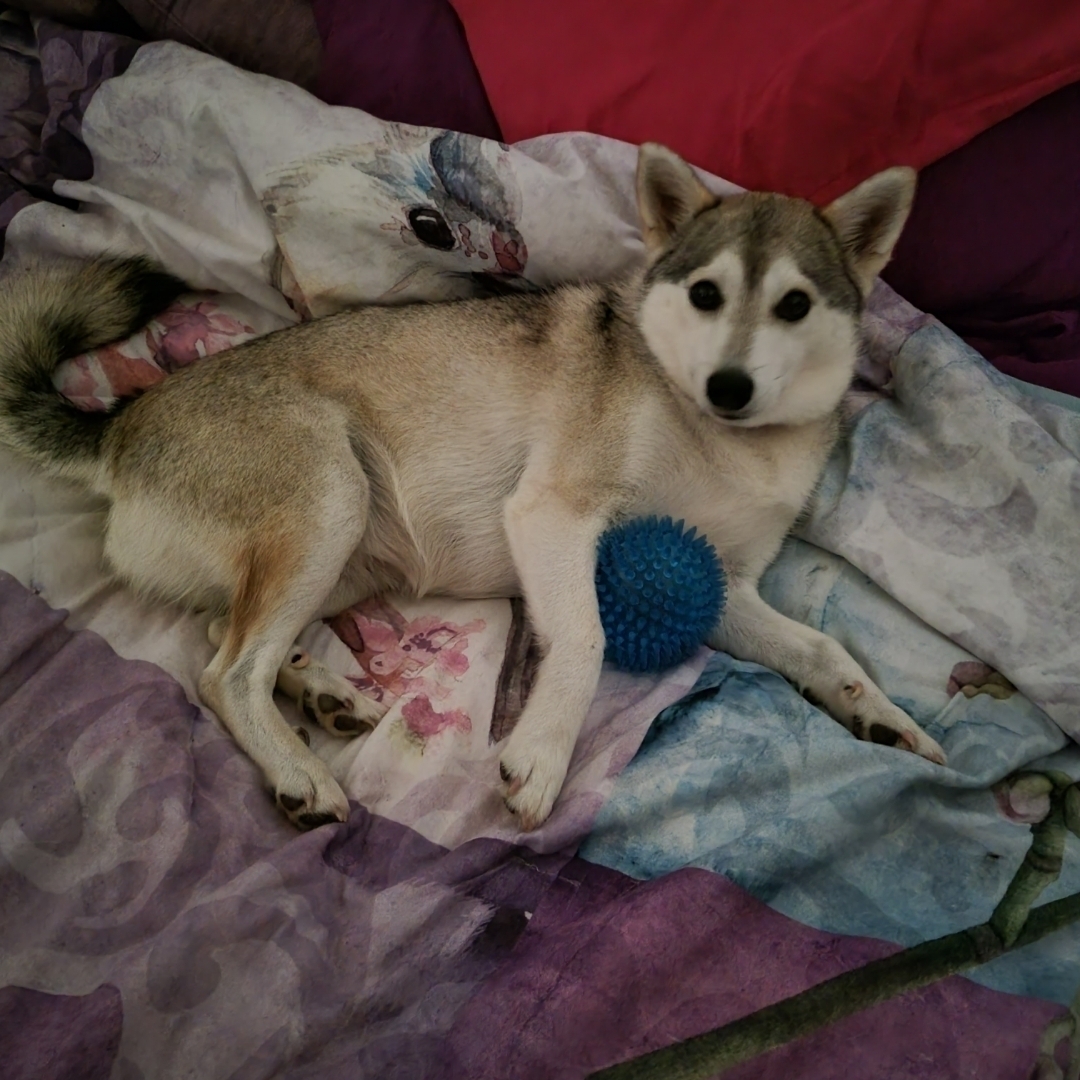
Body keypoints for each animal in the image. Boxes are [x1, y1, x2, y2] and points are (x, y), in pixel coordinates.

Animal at [0, 143, 946, 829]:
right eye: (707, 293)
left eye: (794, 305)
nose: (730, 387)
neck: (720, 438)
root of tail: (118, 425)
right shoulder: (554, 515)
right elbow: (588, 638)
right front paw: (545, 755)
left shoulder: (724, 589)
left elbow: (825, 653)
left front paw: (884, 718)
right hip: (330, 498)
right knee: (225, 672)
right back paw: (301, 770)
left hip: (336, 555)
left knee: (219, 636)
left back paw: (319, 689)